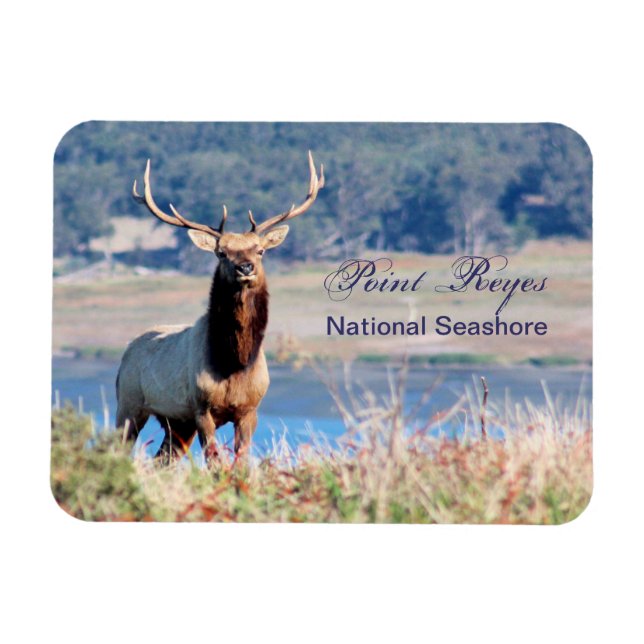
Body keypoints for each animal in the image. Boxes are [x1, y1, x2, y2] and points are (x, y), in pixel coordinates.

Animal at [116, 151, 325, 463]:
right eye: (221, 252)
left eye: (260, 250)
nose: (245, 267)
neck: (233, 365)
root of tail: (126, 351)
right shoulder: (201, 408)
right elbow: (215, 462)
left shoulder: (250, 410)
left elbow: (241, 461)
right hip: (129, 403)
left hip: (176, 422)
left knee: (161, 461)